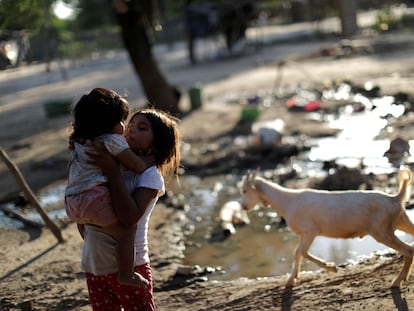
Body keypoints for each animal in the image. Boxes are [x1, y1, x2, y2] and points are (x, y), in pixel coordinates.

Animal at [241, 169, 414, 288]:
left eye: (245, 190)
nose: (243, 206)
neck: (288, 201)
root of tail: (395, 199)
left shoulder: (310, 231)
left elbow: (300, 252)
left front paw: (331, 267)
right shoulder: (304, 234)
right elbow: (297, 253)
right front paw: (291, 279)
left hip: (382, 231)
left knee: (408, 251)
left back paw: (396, 281)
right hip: (401, 222)